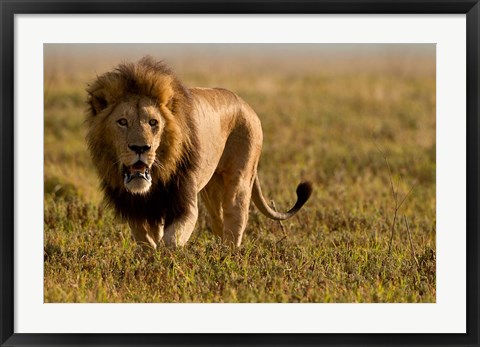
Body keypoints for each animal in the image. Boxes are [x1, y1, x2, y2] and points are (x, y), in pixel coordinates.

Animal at [86, 55, 314, 249]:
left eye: (153, 122)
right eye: (122, 122)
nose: (140, 148)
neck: (158, 175)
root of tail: (245, 104)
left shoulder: (185, 204)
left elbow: (170, 241)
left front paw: (164, 260)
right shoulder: (138, 209)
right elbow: (146, 242)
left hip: (239, 180)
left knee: (235, 221)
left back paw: (230, 258)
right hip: (211, 190)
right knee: (220, 224)